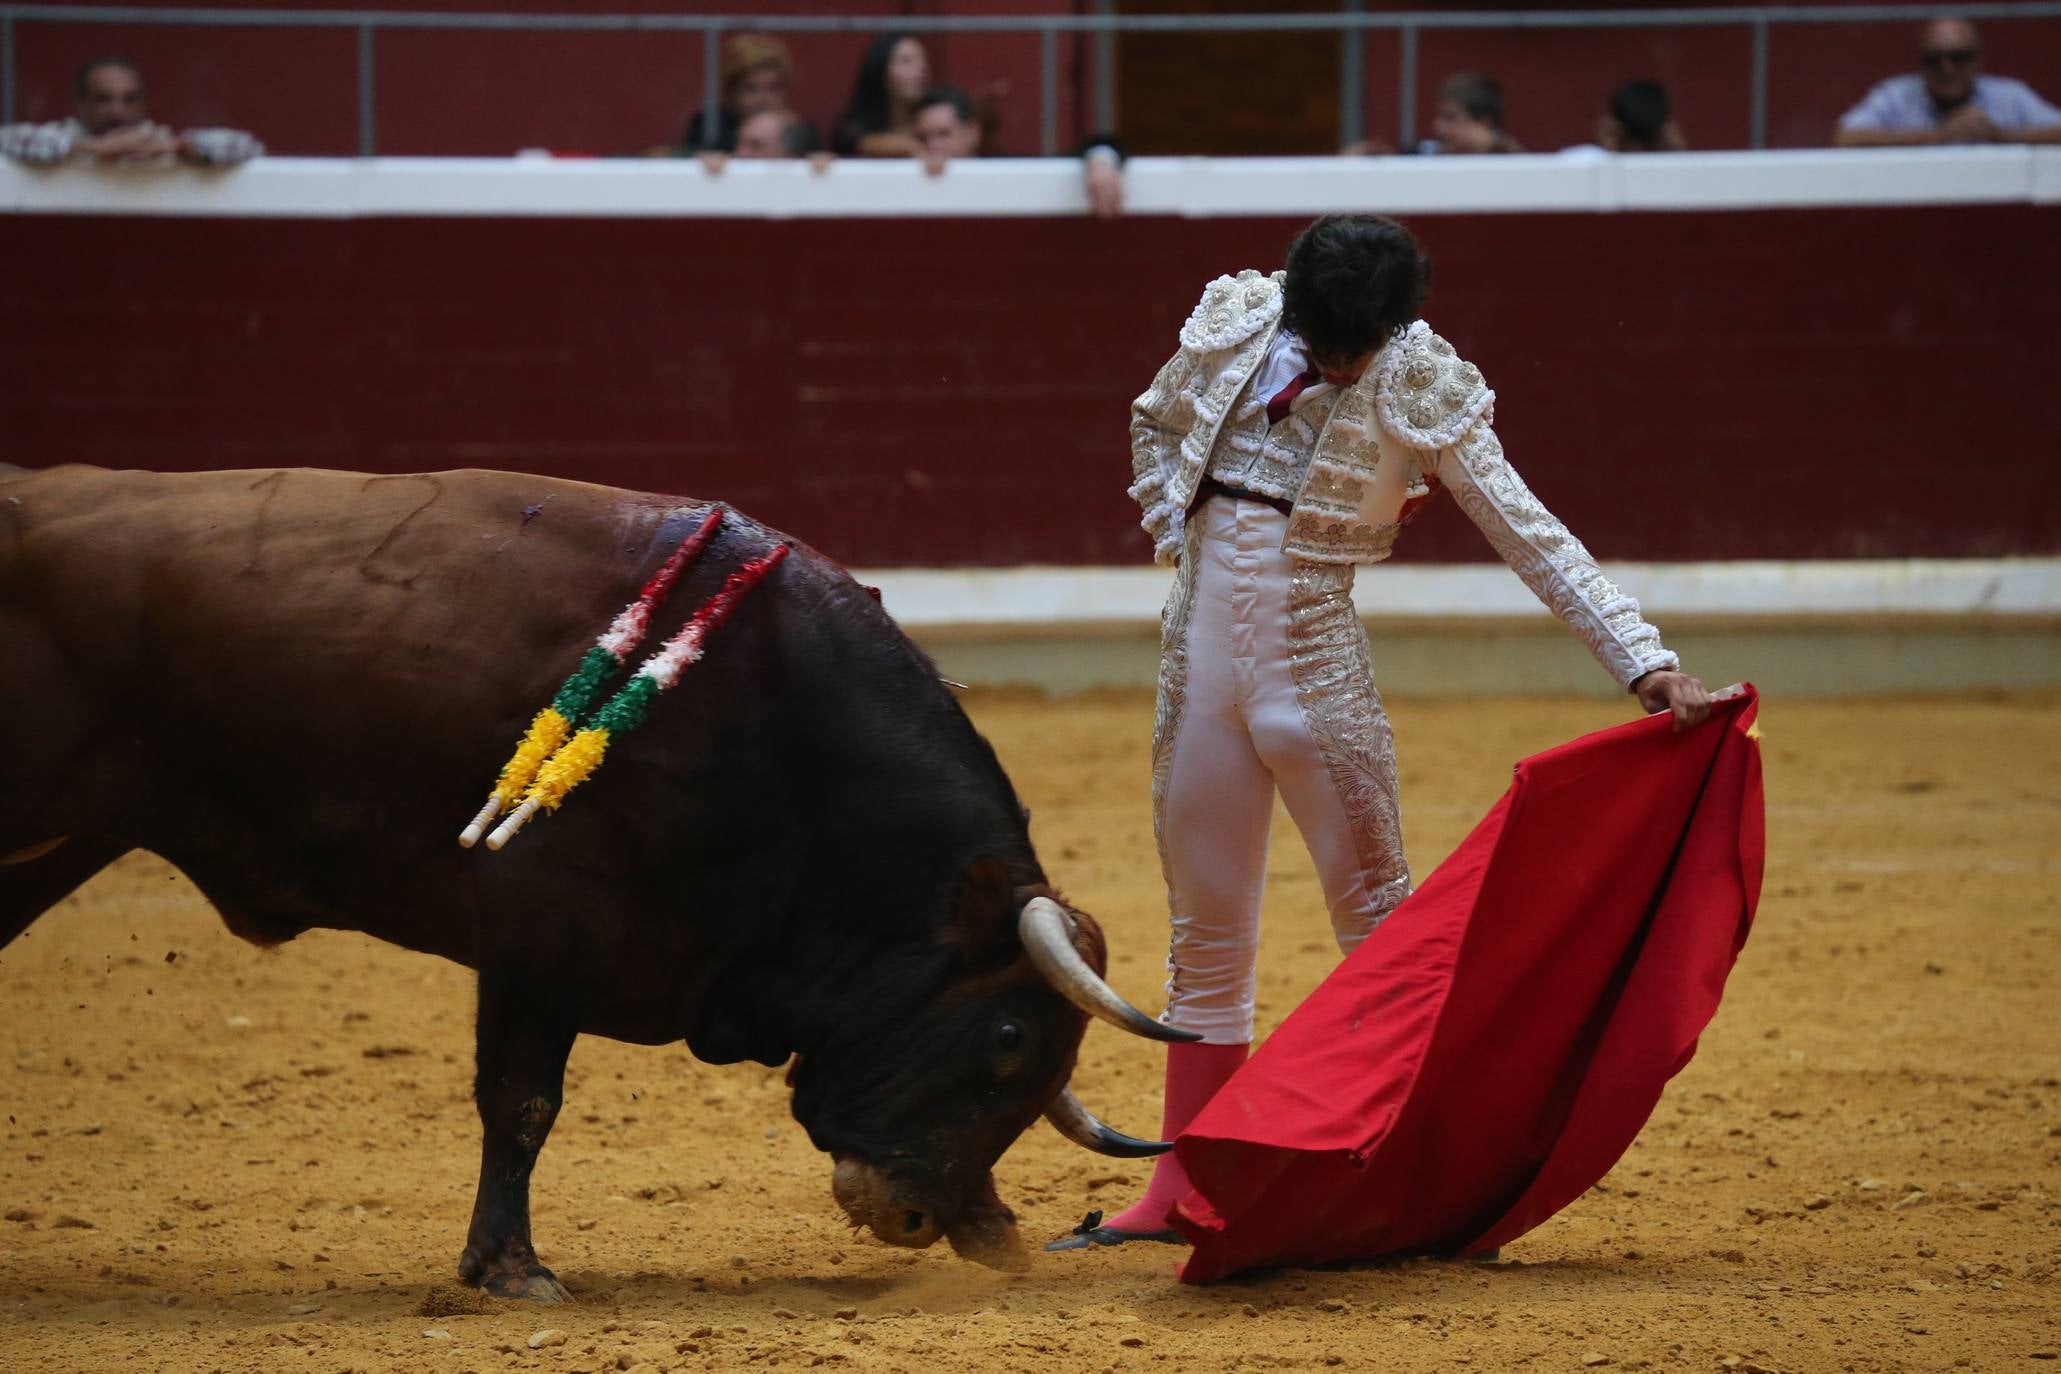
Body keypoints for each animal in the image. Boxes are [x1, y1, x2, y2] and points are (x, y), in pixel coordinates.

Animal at [0, 465, 1195, 1301]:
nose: (917, 1217)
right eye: (1008, 1039)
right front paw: (511, 1271)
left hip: (59, 838)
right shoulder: (540, 941)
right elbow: (523, 1101)